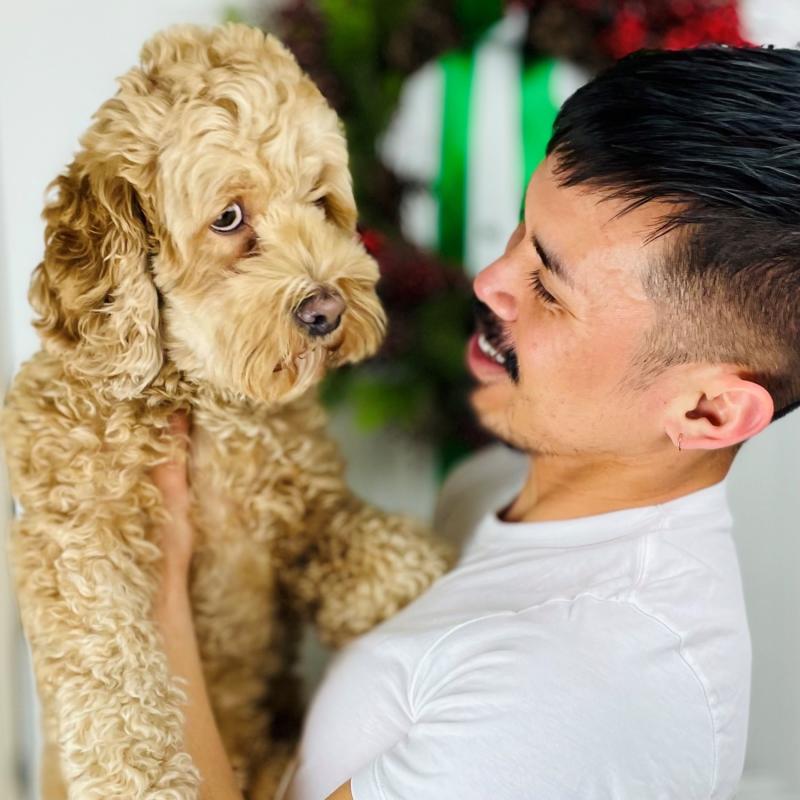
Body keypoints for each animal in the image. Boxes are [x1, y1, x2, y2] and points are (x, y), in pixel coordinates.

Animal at [0, 25, 450, 800]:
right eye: (229, 218)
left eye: (319, 201)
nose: (327, 310)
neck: (201, 398)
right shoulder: (77, 541)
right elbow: (115, 680)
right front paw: (145, 781)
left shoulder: (297, 497)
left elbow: (349, 535)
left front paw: (413, 564)